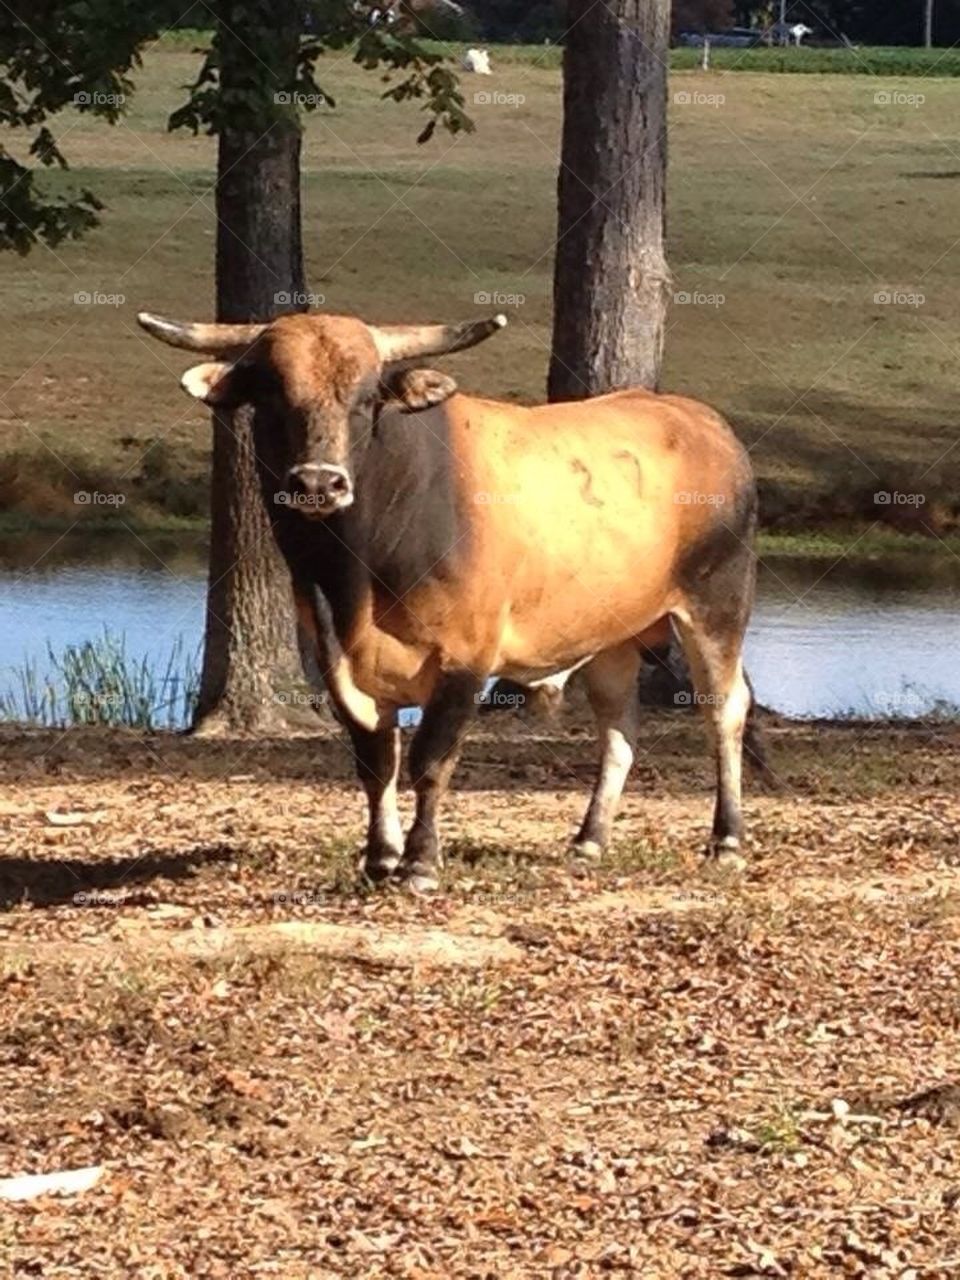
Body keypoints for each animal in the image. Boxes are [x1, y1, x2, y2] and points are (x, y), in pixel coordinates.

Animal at [138, 309, 759, 893]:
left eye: (368, 398)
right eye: (270, 393)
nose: (318, 483)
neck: (351, 580)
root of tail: (703, 422)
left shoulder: (467, 657)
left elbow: (430, 758)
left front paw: (419, 862)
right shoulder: (335, 660)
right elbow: (376, 760)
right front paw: (379, 856)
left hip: (716, 603)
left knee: (724, 709)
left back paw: (726, 839)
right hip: (612, 632)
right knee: (618, 729)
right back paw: (589, 840)